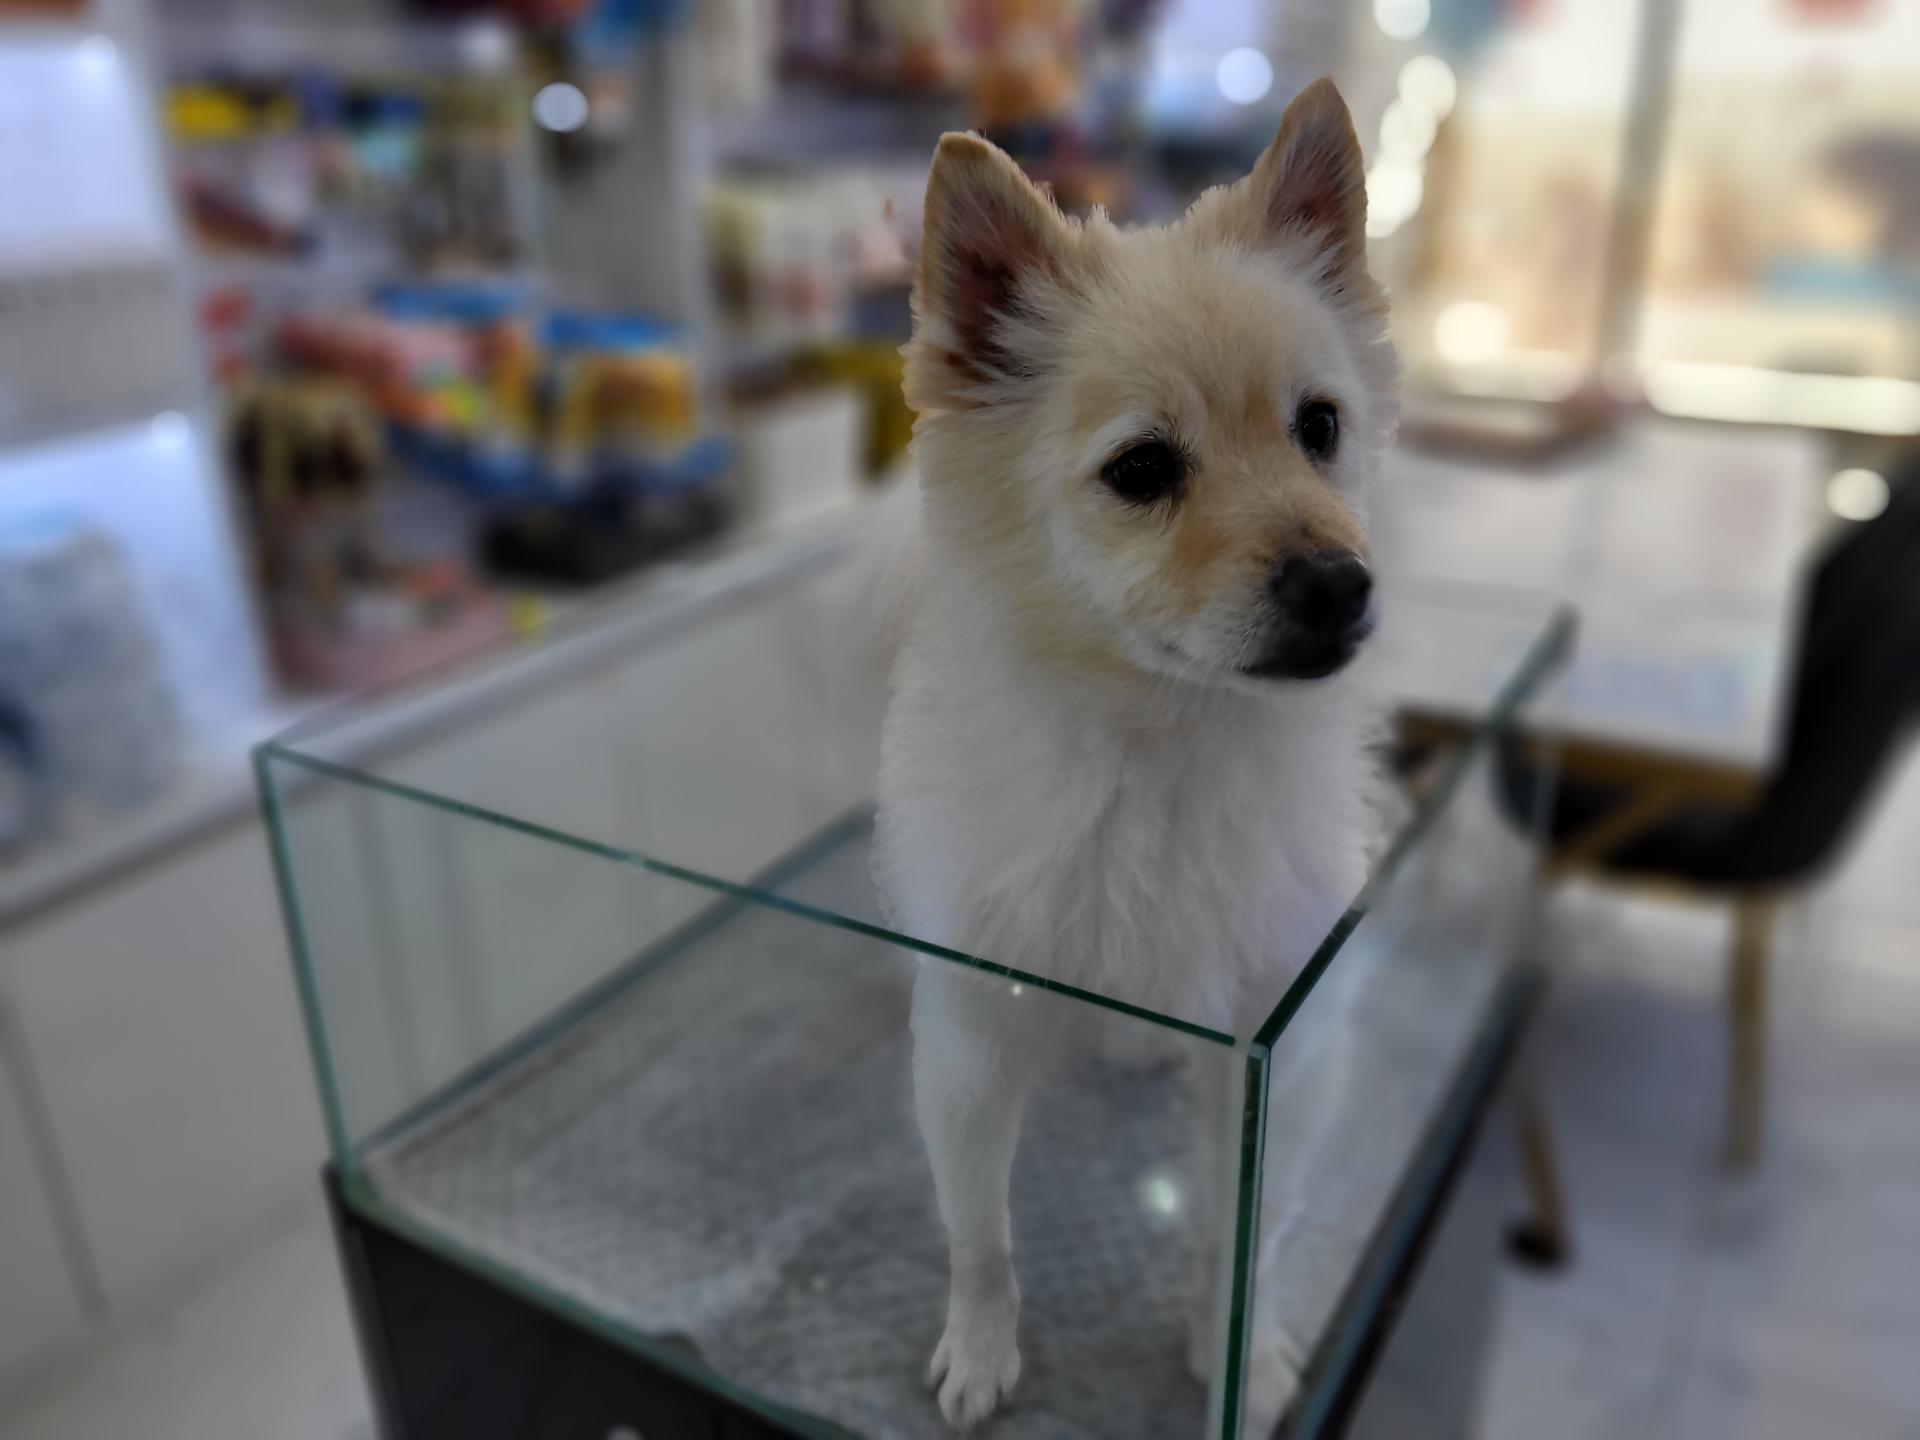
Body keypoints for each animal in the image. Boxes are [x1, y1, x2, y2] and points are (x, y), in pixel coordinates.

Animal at [872, 78, 1398, 1433]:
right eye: (1143, 470)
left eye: (1321, 428)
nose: (1339, 582)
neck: (1167, 745)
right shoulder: (966, 1049)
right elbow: (982, 1237)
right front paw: (982, 1351)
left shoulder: (1271, 1058)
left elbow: (1238, 1239)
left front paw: (1237, 1353)